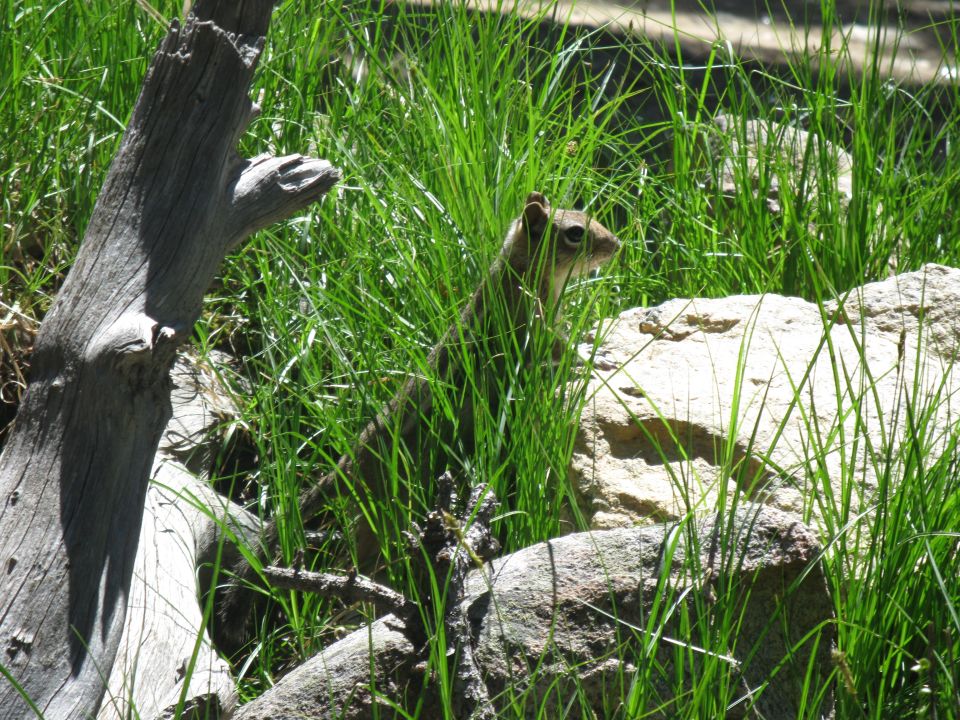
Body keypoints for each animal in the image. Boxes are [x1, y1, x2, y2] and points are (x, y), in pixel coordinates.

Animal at [215, 191, 619, 648]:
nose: (617, 245)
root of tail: (353, 458)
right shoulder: (533, 333)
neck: (521, 273)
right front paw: (596, 357)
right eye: (575, 233)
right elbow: (561, 355)